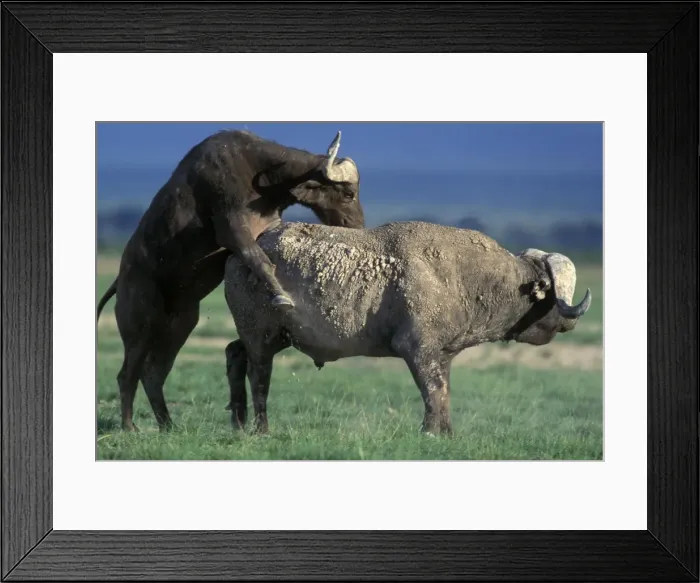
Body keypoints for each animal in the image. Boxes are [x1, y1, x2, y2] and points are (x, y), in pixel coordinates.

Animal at [96, 130, 364, 432]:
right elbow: (259, 259)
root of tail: (120, 279)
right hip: (139, 324)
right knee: (126, 374)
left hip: (180, 324)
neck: (262, 177)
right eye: (349, 193)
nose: (358, 226)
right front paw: (281, 296)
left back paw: (168, 425)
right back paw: (129, 426)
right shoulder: (233, 231)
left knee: (153, 374)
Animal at [223, 221, 592, 435]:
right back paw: (261, 428)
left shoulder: (443, 356)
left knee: (233, 353)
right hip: (261, 336)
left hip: (270, 336)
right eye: (553, 293)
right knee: (258, 376)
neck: (467, 277)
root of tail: (244, 252)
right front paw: (429, 432)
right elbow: (433, 393)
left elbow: (443, 392)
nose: (569, 320)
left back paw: (238, 422)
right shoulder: (417, 350)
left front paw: (445, 433)